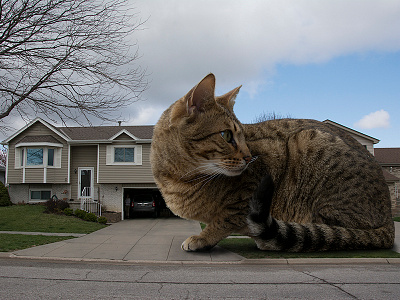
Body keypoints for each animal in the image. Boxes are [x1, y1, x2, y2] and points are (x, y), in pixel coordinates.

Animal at [150, 74, 394, 252]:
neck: (178, 179)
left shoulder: (257, 181)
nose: (249, 157)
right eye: (226, 135)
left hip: (307, 142)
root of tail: (390, 218)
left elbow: (226, 219)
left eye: (244, 137)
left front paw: (203, 237)